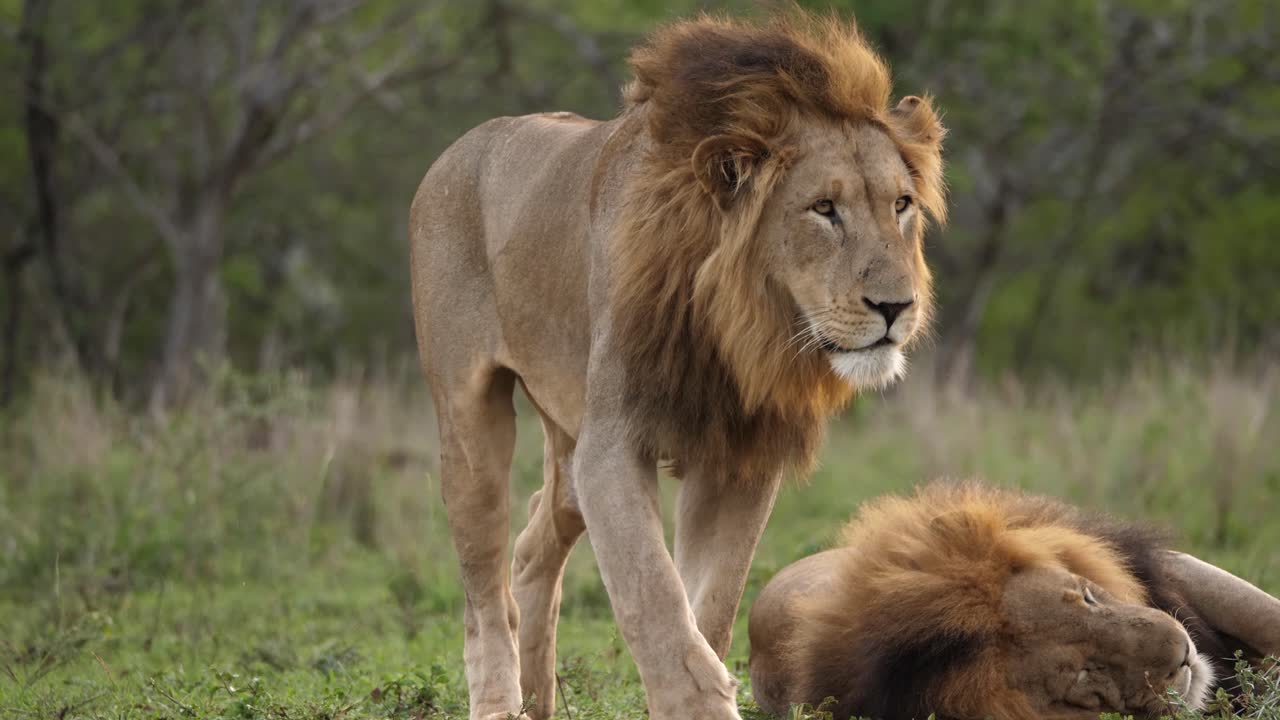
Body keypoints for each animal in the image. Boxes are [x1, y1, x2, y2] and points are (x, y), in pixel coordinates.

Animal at [409, 11, 945, 720]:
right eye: (823, 209)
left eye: (901, 205)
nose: (896, 306)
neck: (738, 323)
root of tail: (454, 150)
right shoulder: (613, 445)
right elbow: (653, 595)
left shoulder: (741, 453)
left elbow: (710, 604)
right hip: (472, 425)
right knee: (482, 593)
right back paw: (500, 701)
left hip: (568, 442)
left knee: (531, 543)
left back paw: (539, 698)